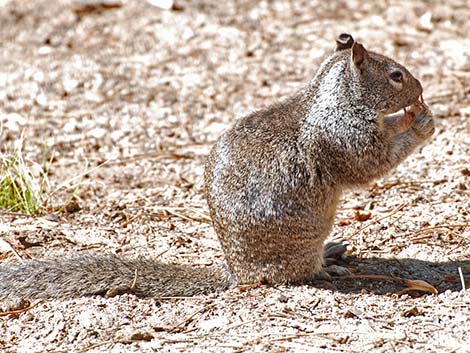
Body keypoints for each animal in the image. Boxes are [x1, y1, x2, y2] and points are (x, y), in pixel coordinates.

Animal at [0, 33, 434, 308]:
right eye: (396, 75)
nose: (421, 89)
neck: (336, 98)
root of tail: (236, 273)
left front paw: (412, 116)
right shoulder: (344, 139)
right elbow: (371, 164)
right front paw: (419, 123)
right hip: (292, 257)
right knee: (293, 275)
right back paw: (325, 269)